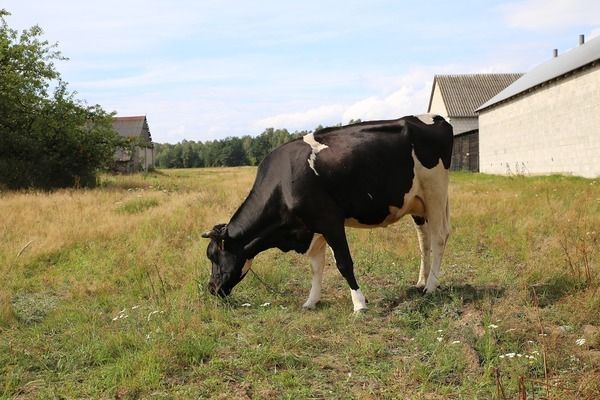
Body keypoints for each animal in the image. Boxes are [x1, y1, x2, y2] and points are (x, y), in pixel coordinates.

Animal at [204, 113, 452, 312]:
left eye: (214, 256)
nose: (211, 288)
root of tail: (435, 117)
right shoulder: (313, 227)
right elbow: (316, 266)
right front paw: (311, 302)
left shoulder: (330, 220)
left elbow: (343, 263)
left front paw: (359, 303)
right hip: (416, 203)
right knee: (424, 240)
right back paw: (421, 281)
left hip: (435, 193)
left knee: (439, 237)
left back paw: (431, 286)